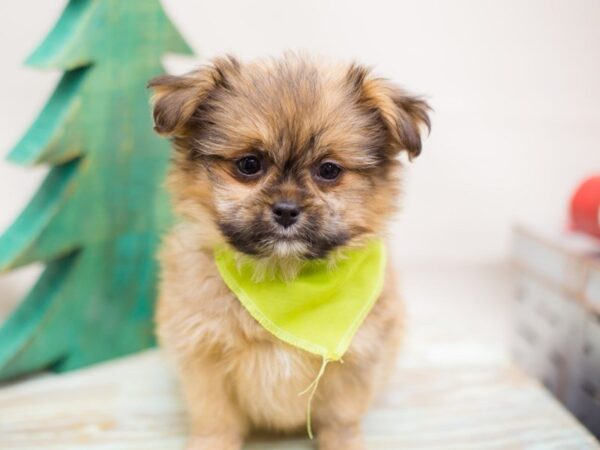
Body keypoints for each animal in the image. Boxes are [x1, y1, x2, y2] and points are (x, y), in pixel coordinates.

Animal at [152, 53, 428, 450]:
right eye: (249, 165)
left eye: (328, 170)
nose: (285, 210)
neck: (284, 278)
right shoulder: (203, 359)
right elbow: (214, 420)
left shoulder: (357, 362)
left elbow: (341, 420)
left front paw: (344, 444)